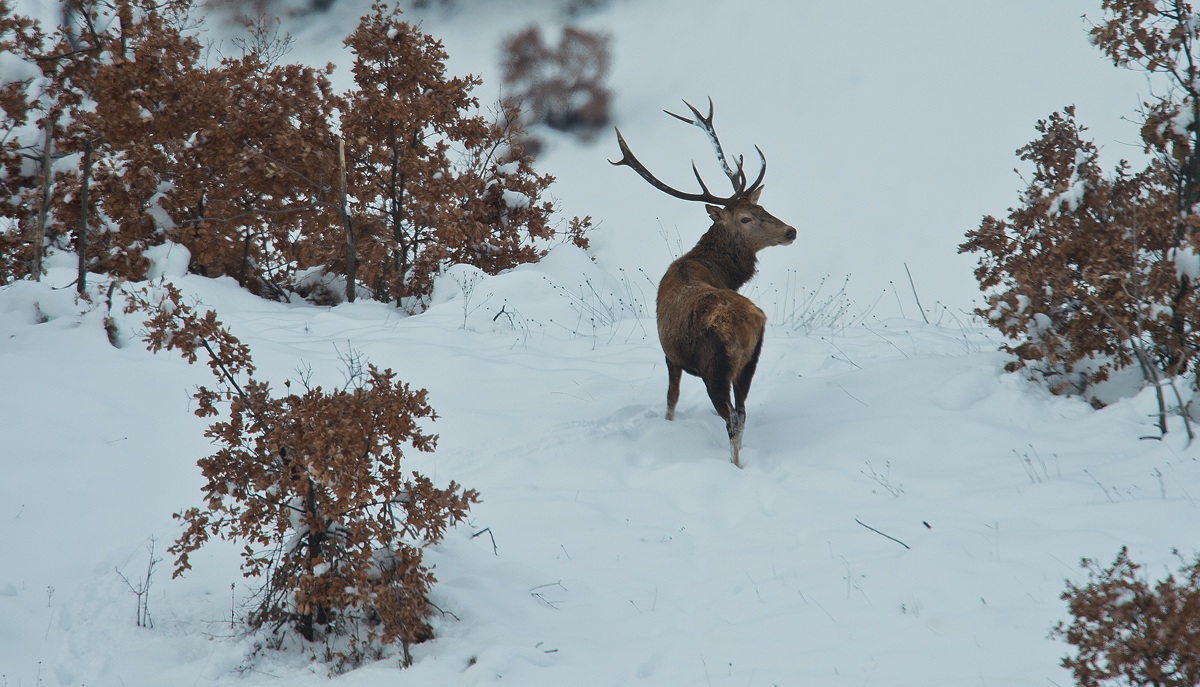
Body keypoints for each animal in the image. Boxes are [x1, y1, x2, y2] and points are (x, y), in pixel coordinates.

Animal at [610, 98, 796, 468]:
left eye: (761, 208)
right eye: (748, 216)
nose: (790, 231)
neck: (714, 271)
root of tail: (749, 323)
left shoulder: (671, 355)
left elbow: (671, 400)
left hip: (715, 368)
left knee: (733, 417)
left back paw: (734, 464)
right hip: (748, 364)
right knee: (743, 411)